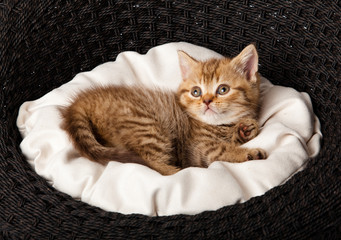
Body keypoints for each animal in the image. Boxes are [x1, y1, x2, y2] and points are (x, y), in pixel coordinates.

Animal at [60, 45, 266, 175]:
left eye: (223, 89)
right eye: (196, 92)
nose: (207, 101)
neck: (220, 124)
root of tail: (82, 101)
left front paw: (246, 128)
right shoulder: (200, 147)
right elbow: (221, 151)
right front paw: (248, 153)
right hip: (148, 126)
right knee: (152, 163)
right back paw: (176, 171)